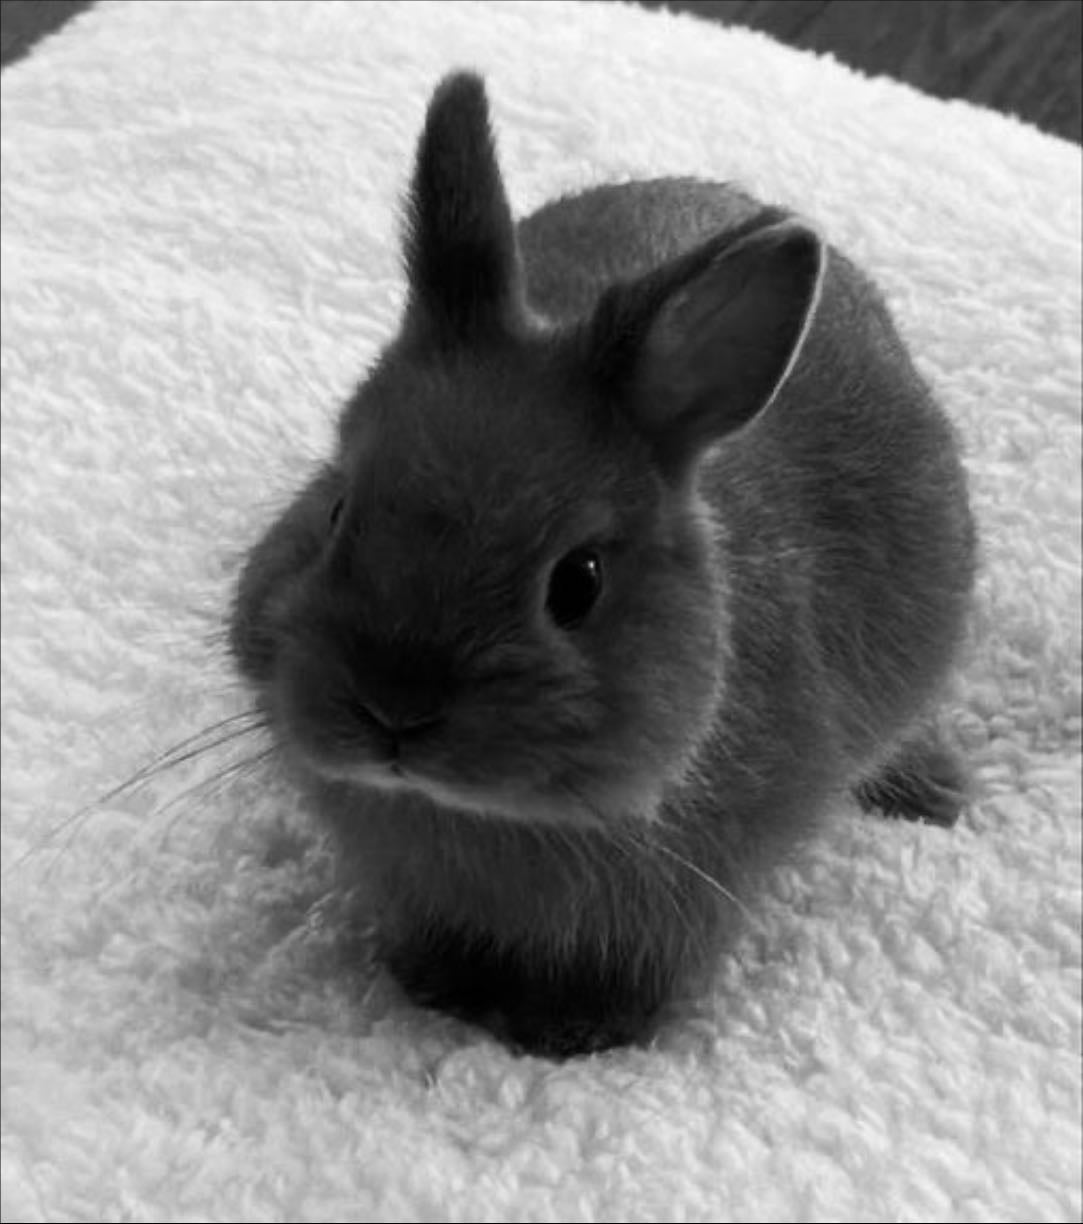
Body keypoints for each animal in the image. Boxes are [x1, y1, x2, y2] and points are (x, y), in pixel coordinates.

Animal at [229, 72, 977, 1058]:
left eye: (577, 582)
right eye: (338, 507)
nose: (393, 709)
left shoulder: (681, 907)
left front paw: (573, 1035)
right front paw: (431, 989)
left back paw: (938, 797)